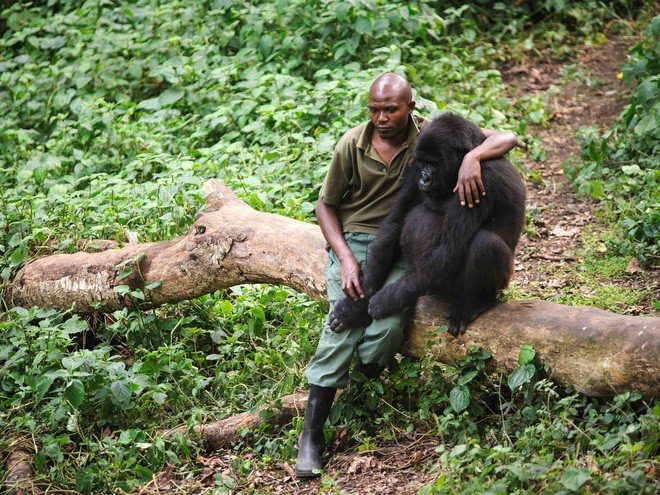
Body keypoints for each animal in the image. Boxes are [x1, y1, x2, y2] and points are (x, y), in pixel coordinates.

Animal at [330, 112, 524, 338]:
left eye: (434, 163)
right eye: (423, 164)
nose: (424, 179)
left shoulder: (480, 176)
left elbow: (450, 246)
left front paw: (387, 300)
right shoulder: (413, 166)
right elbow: (395, 223)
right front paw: (357, 306)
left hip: (501, 282)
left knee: (485, 243)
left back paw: (475, 302)